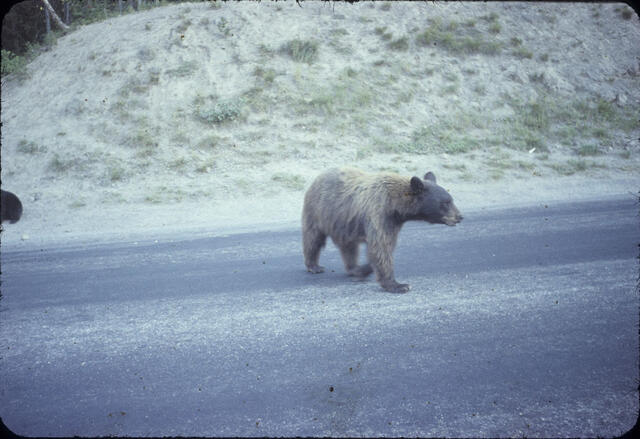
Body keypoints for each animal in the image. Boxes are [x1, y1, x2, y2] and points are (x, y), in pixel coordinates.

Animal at [302, 168, 462, 292]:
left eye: (451, 199)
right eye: (445, 203)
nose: (459, 217)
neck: (395, 206)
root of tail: (319, 177)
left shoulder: (393, 223)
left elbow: (384, 247)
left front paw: (370, 270)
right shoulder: (379, 214)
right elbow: (381, 247)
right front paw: (399, 285)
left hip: (343, 222)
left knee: (349, 248)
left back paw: (356, 269)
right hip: (318, 211)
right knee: (313, 238)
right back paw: (314, 265)